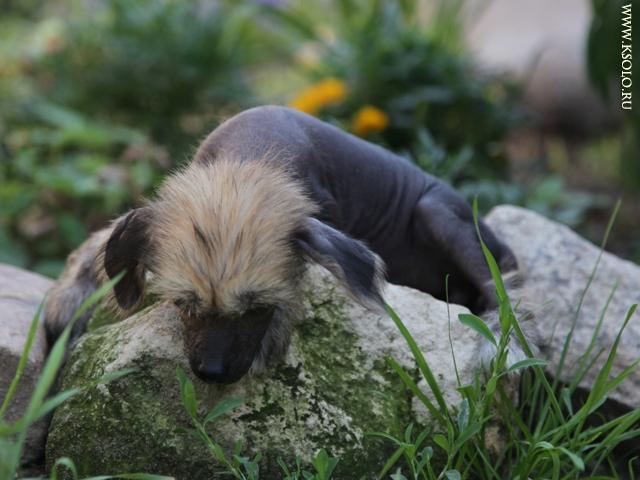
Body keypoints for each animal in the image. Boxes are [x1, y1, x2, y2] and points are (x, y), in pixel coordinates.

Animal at [44, 105, 530, 384]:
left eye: (261, 307)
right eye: (183, 305)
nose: (212, 375)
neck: (248, 158)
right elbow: (99, 245)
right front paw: (65, 304)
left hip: (437, 214)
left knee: (502, 297)